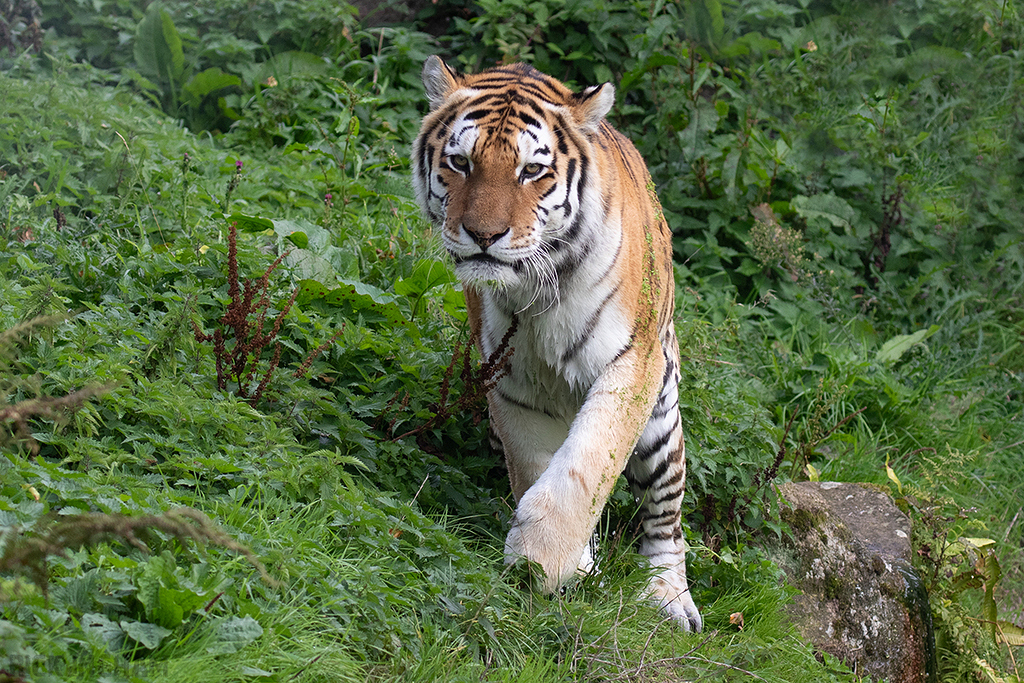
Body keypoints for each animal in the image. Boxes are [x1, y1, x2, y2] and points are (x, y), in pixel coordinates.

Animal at [412, 56, 703, 632]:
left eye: (531, 171)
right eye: (459, 162)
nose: (483, 235)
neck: (536, 288)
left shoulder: (631, 367)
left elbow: (587, 464)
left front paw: (543, 559)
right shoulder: (509, 379)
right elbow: (532, 466)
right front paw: (567, 565)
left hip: (661, 420)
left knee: (666, 514)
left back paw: (669, 597)